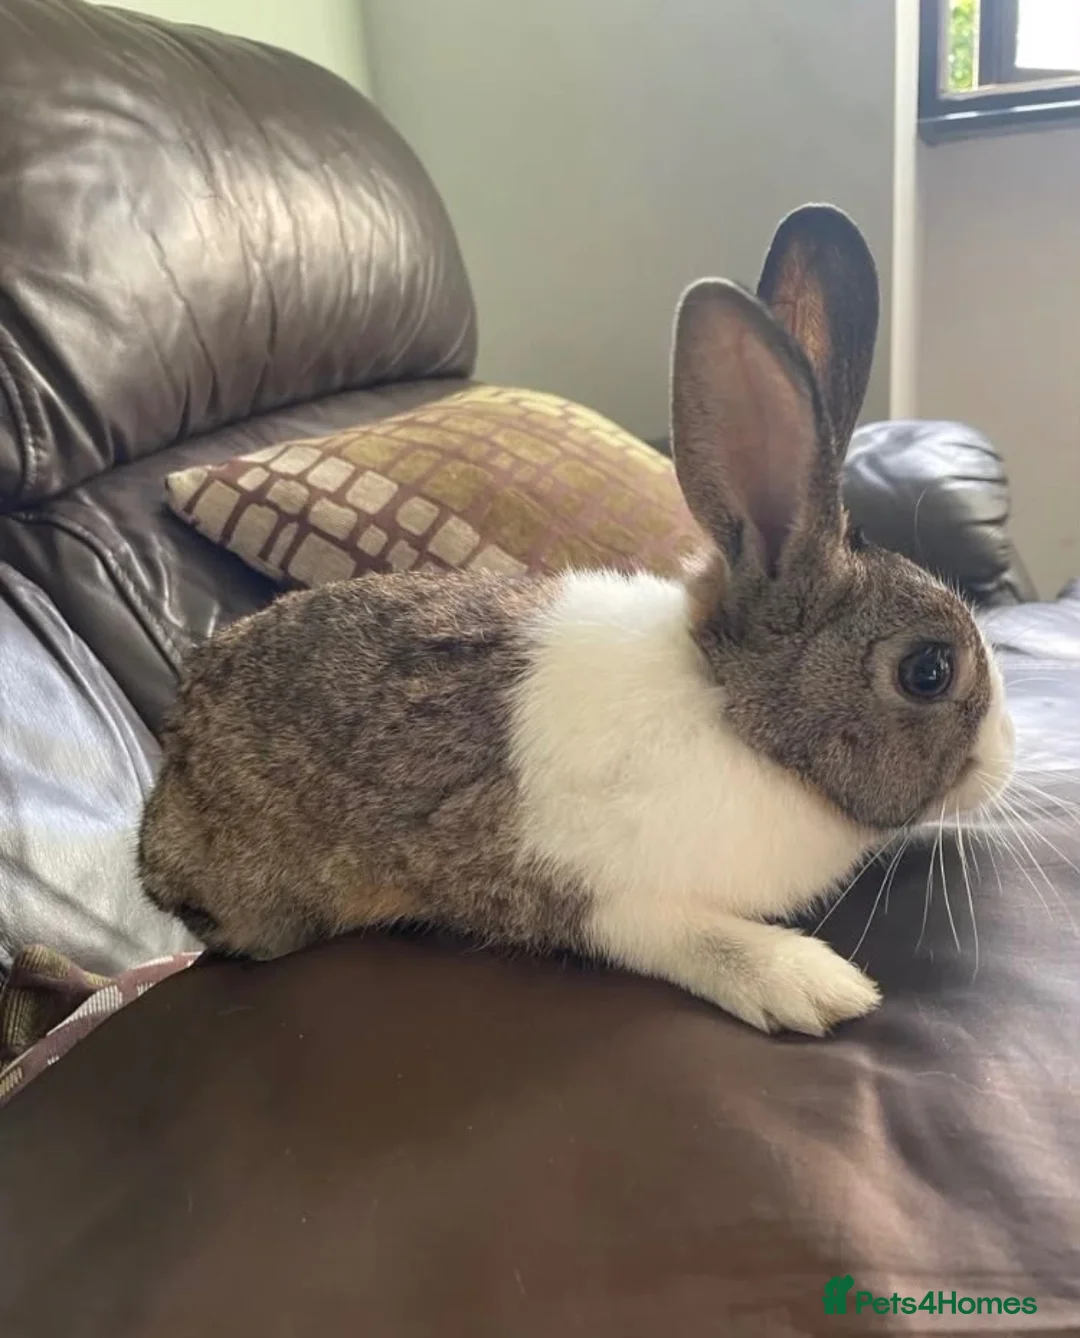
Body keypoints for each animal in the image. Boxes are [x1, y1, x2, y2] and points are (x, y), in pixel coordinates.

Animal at [139, 203, 1015, 1035]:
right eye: (928, 671)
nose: (1009, 758)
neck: (738, 718)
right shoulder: (587, 891)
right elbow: (686, 936)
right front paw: (811, 985)